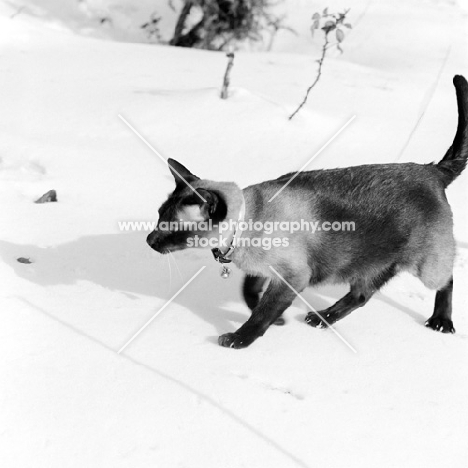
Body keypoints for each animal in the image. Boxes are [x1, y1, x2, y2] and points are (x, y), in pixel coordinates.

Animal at [147, 75, 468, 350]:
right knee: (361, 295)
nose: (149, 240)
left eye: (170, 225)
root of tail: (432, 170)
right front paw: (278, 321)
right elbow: (250, 293)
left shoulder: (294, 276)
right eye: (159, 217)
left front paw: (240, 339)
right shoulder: (265, 272)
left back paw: (441, 322)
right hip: (367, 264)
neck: (242, 232)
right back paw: (322, 319)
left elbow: (261, 313)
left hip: (426, 267)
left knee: (447, 280)